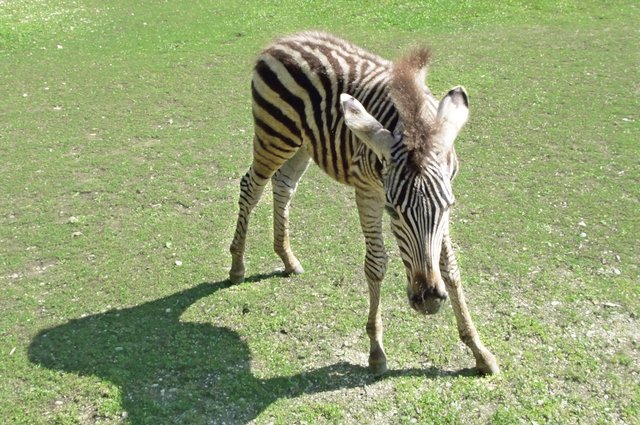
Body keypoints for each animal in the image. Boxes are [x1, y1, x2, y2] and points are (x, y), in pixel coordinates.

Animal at [228, 32, 499, 375]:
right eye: (392, 211)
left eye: (449, 207)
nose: (427, 300)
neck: (413, 120)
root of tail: (287, 38)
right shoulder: (368, 192)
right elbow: (376, 264)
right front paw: (376, 350)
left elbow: (449, 267)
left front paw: (479, 350)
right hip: (274, 135)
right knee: (251, 187)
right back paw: (237, 265)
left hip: (302, 143)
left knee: (284, 186)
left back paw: (287, 258)